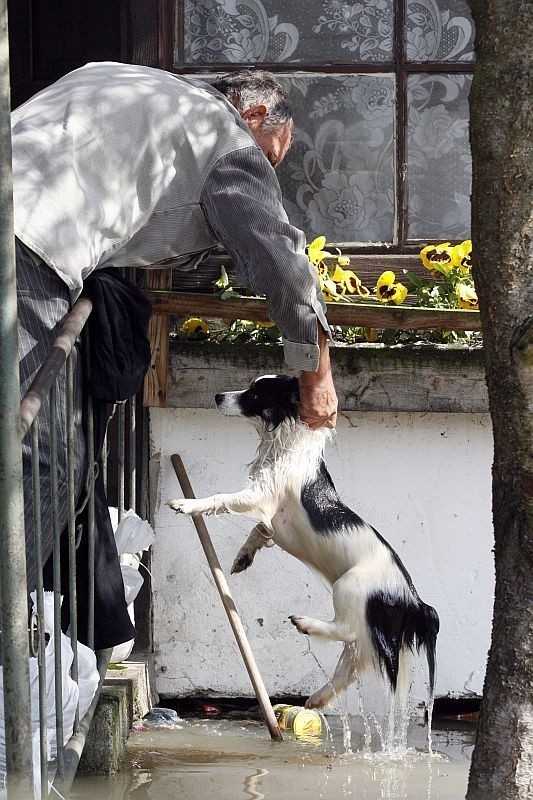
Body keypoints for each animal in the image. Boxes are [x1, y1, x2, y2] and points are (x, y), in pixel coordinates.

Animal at [168, 376, 438, 708]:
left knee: (347, 631)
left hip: (350, 587)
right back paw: (316, 699)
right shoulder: (270, 518)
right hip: (361, 636)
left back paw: (305, 623)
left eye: (255, 393)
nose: (218, 396)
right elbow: (258, 531)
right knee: (348, 665)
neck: (286, 443)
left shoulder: (260, 495)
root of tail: (413, 599)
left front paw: (187, 504)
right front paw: (243, 556)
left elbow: (221, 499)